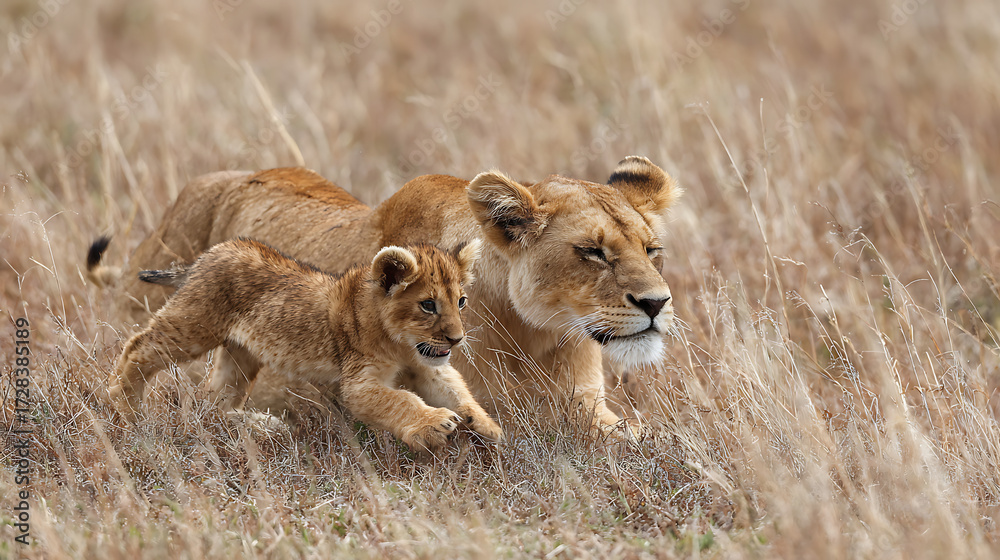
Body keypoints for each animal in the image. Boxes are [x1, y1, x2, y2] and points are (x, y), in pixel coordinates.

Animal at [108, 237, 502, 451]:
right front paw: (435, 424)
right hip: (194, 326)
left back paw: (261, 427)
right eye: (428, 305)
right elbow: (400, 401)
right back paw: (125, 409)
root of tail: (206, 256)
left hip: (241, 355)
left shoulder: (425, 364)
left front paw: (486, 426)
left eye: (461, 301)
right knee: (137, 347)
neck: (401, 343)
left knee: (215, 401)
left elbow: (455, 389)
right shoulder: (358, 382)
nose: (457, 339)